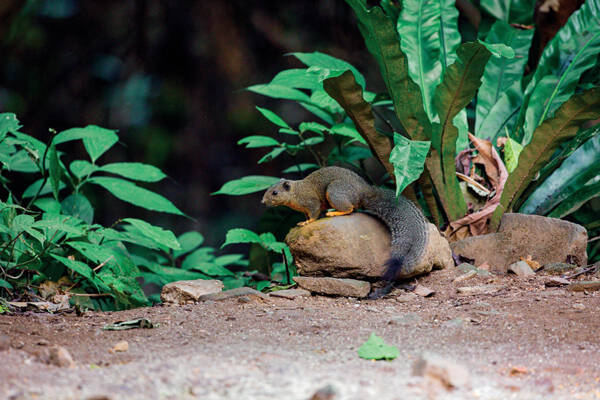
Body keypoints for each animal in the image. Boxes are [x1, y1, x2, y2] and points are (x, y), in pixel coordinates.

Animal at [262, 165, 426, 296]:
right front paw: (302, 221)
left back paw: (335, 212)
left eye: (275, 193)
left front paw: (308, 222)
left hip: (335, 191)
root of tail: (364, 192)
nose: (263, 202)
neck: (296, 192)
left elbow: (314, 213)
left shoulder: (311, 202)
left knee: (350, 208)